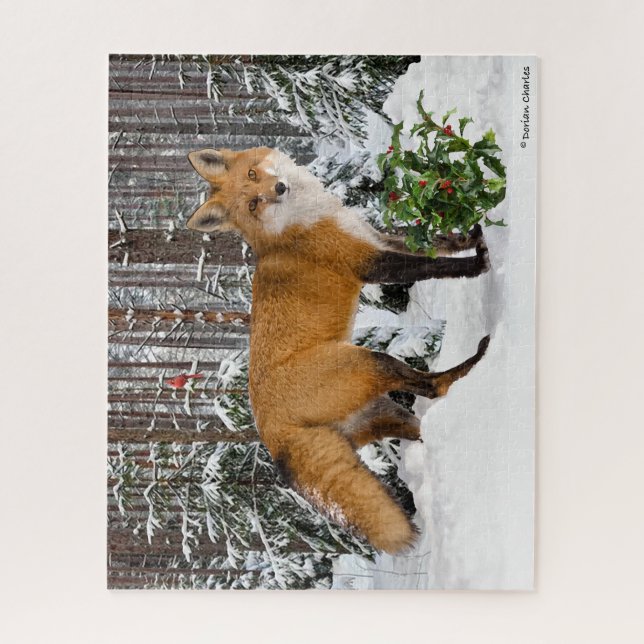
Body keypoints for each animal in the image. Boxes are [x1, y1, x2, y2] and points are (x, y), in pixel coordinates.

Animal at [186, 146, 490, 554]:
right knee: (433, 386)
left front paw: (472, 234)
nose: (278, 188)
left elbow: (438, 242)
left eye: (252, 175)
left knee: (423, 419)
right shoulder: (370, 263)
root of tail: (271, 435)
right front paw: (479, 263)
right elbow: (434, 265)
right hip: (371, 362)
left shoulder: (377, 238)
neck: (301, 220)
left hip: (385, 412)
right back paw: (477, 362)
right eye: (253, 204)